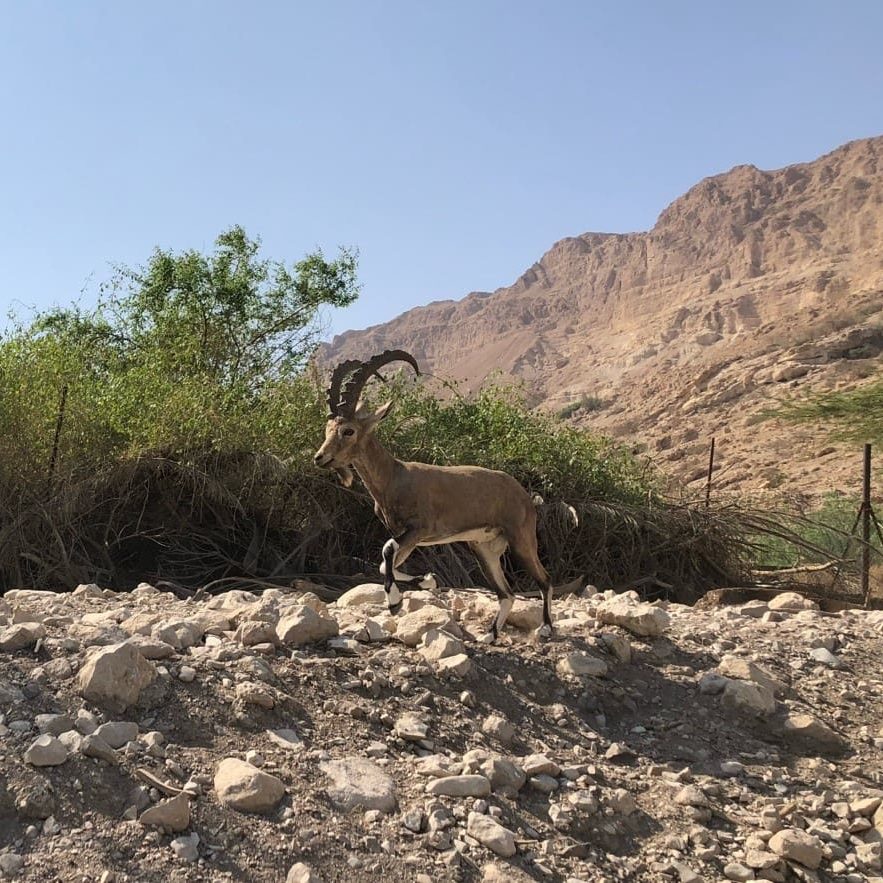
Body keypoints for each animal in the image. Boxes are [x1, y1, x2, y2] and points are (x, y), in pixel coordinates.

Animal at [314, 350, 554, 642]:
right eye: (327, 429)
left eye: (348, 430)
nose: (320, 458)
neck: (394, 476)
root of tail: (523, 494)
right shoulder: (408, 537)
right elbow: (385, 563)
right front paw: (426, 581)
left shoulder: (420, 529)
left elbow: (386, 551)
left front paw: (395, 603)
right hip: (484, 548)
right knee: (506, 593)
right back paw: (490, 635)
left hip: (521, 538)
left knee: (544, 579)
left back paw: (545, 628)